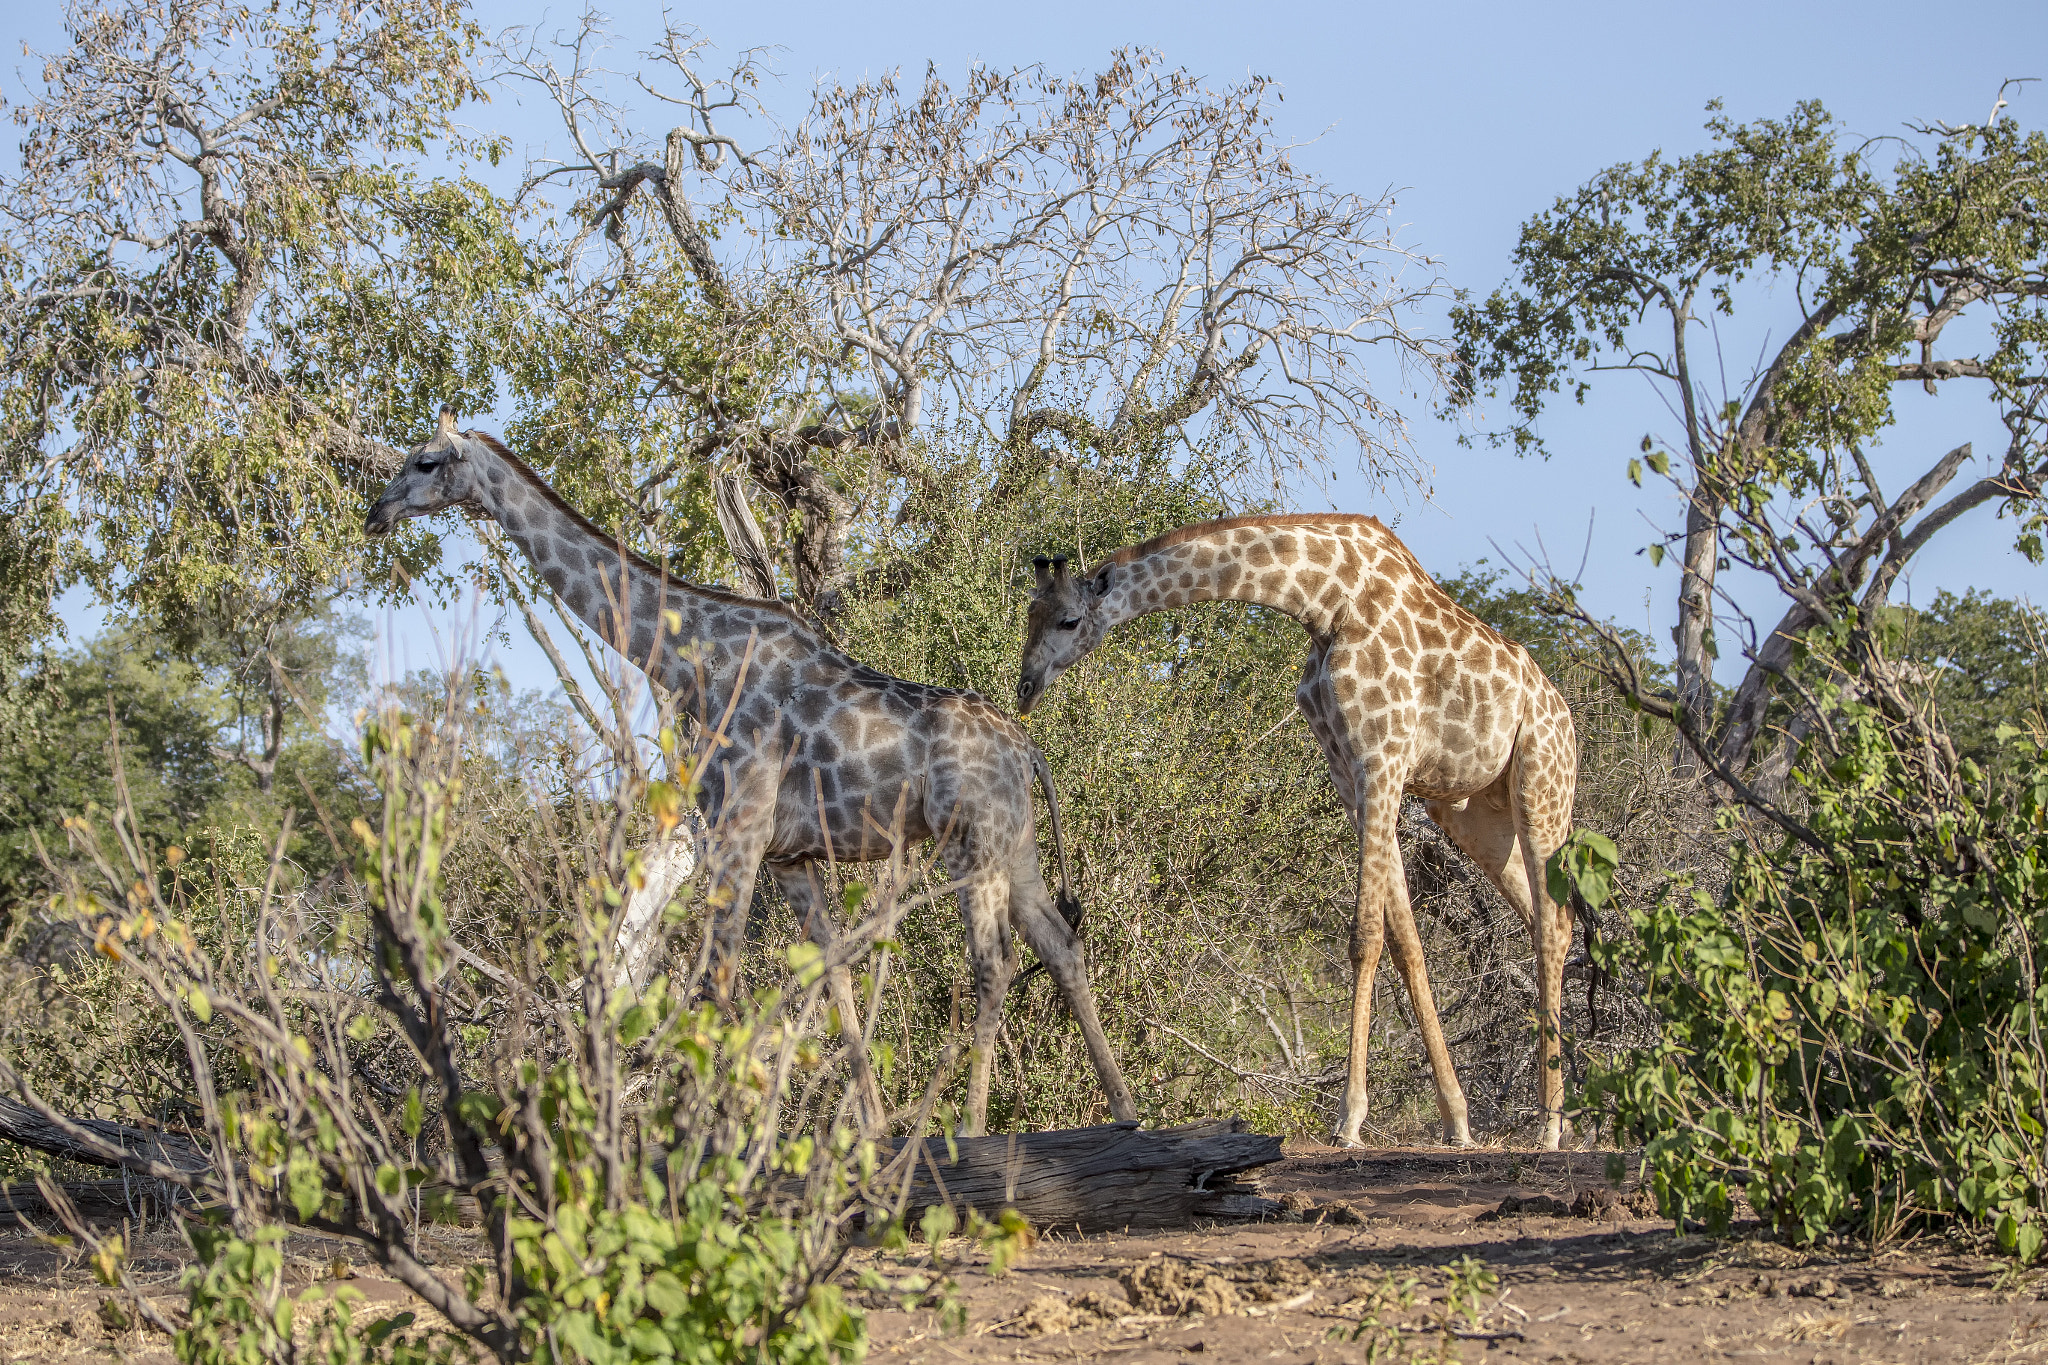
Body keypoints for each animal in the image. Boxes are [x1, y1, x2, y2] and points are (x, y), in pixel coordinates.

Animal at [366, 409, 1138, 1146]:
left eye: (425, 461)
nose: (376, 511)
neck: (686, 656)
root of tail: (1028, 749)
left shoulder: (735, 829)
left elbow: (719, 979)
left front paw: (714, 1136)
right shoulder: (788, 854)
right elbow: (829, 974)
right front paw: (866, 1127)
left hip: (969, 840)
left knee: (993, 962)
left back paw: (968, 1127)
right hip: (1016, 843)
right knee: (1059, 944)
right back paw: (1124, 1111)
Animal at [1015, 517, 1572, 1146]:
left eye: (1068, 620)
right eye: (1029, 613)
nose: (1026, 686)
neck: (1325, 601)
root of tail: (1565, 715)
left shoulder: (1382, 757)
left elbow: (1365, 936)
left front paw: (1350, 1119)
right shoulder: (1350, 771)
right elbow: (1406, 943)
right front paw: (1456, 1118)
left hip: (1541, 789)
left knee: (1553, 925)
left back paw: (1551, 1126)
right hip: (1471, 813)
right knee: (1546, 920)